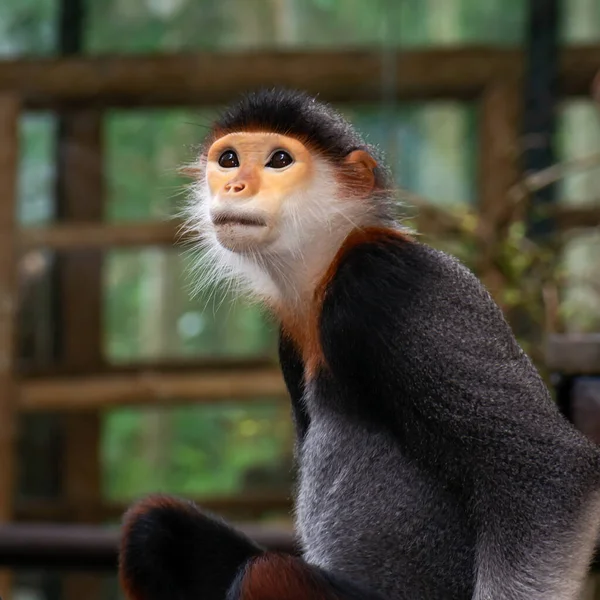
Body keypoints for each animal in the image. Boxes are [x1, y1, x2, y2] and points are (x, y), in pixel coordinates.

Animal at [119, 89, 600, 600]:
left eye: (279, 160)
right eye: (228, 160)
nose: (235, 186)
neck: (333, 259)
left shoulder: (384, 284)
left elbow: (550, 471)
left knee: (264, 574)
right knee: (151, 525)